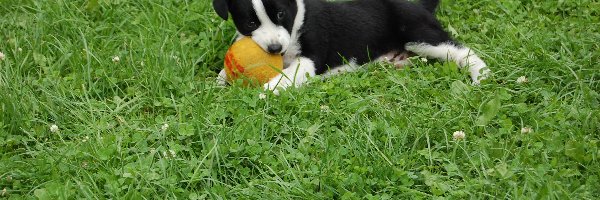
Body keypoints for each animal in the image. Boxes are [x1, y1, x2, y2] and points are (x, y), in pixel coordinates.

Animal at [213, 0, 490, 93]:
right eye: (251, 22)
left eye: (280, 14)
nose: (273, 49)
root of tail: (418, 6)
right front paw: (219, 81)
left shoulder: (310, 58)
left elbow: (288, 75)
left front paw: (268, 90)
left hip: (419, 35)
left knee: (461, 51)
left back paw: (481, 75)